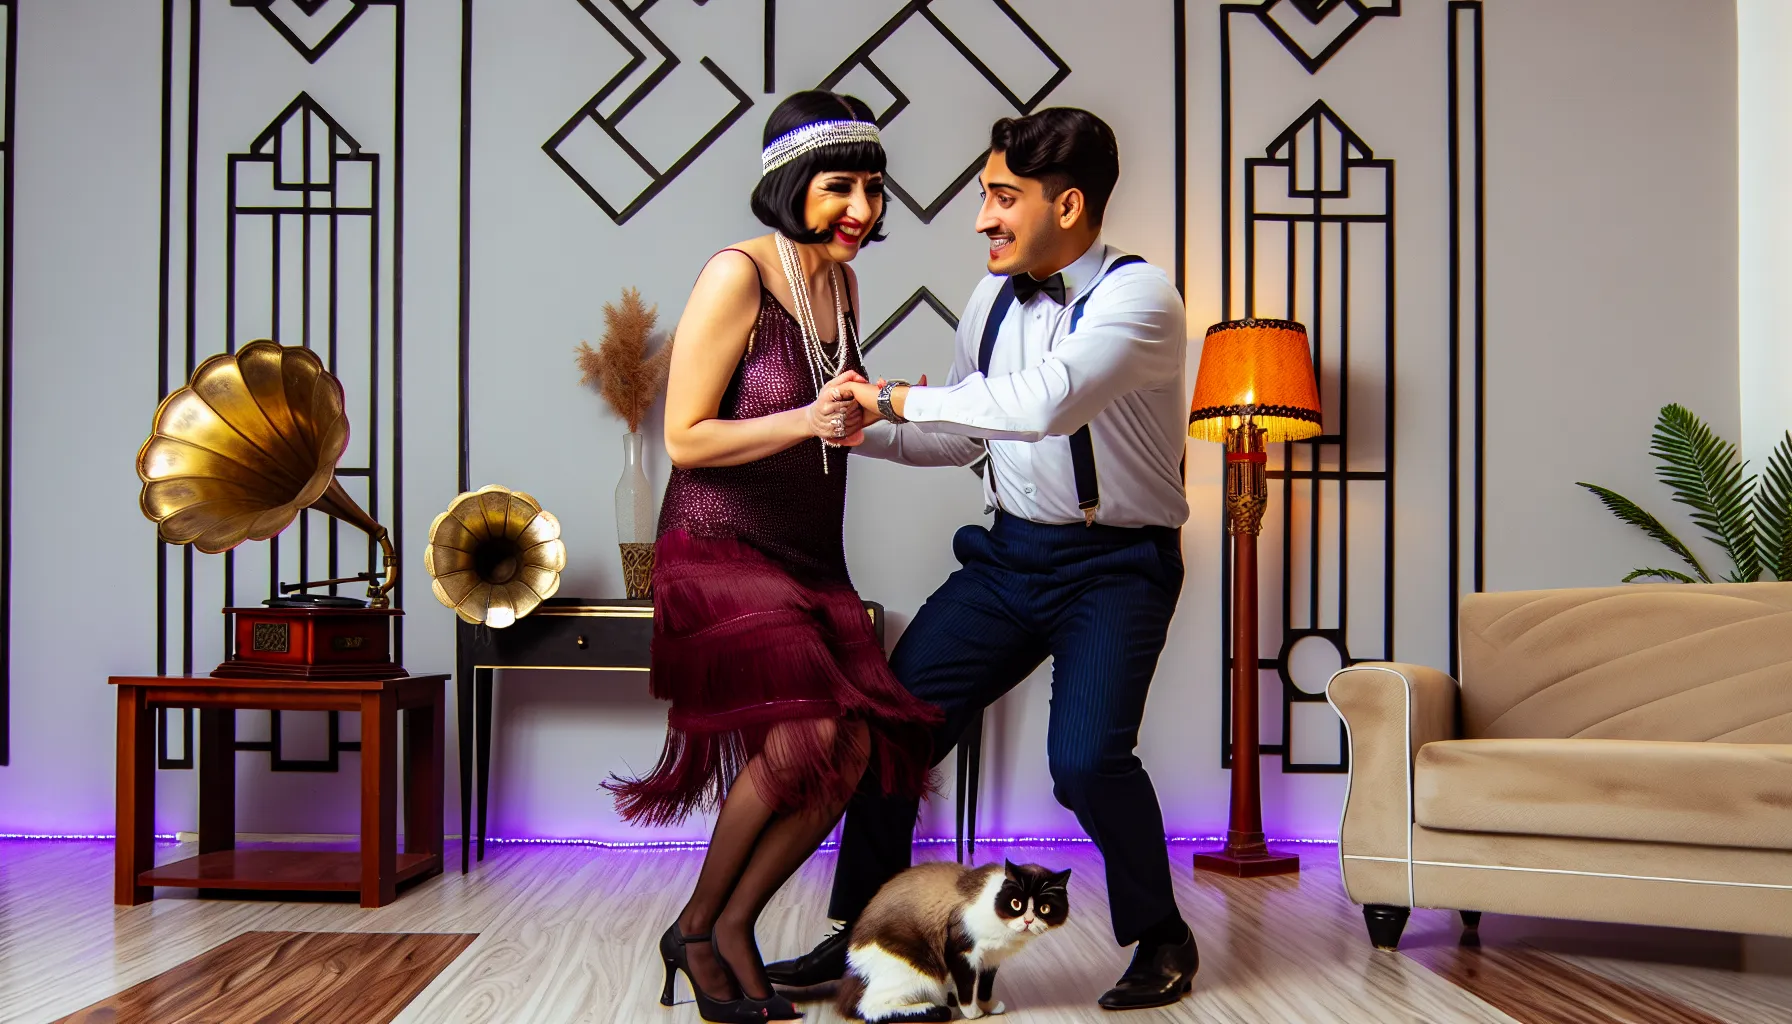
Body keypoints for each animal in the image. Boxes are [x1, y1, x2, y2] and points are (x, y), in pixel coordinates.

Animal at [835, 860, 1068, 1018]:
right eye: (1016, 904)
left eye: (1044, 909)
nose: (1028, 921)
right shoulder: (963, 953)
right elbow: (967, 989)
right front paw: (974, 1014)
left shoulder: (991, 959)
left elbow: (984, 988)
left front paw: (989, 1007)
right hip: (920, 970)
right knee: (867, 1008)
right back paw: (934, 1009)